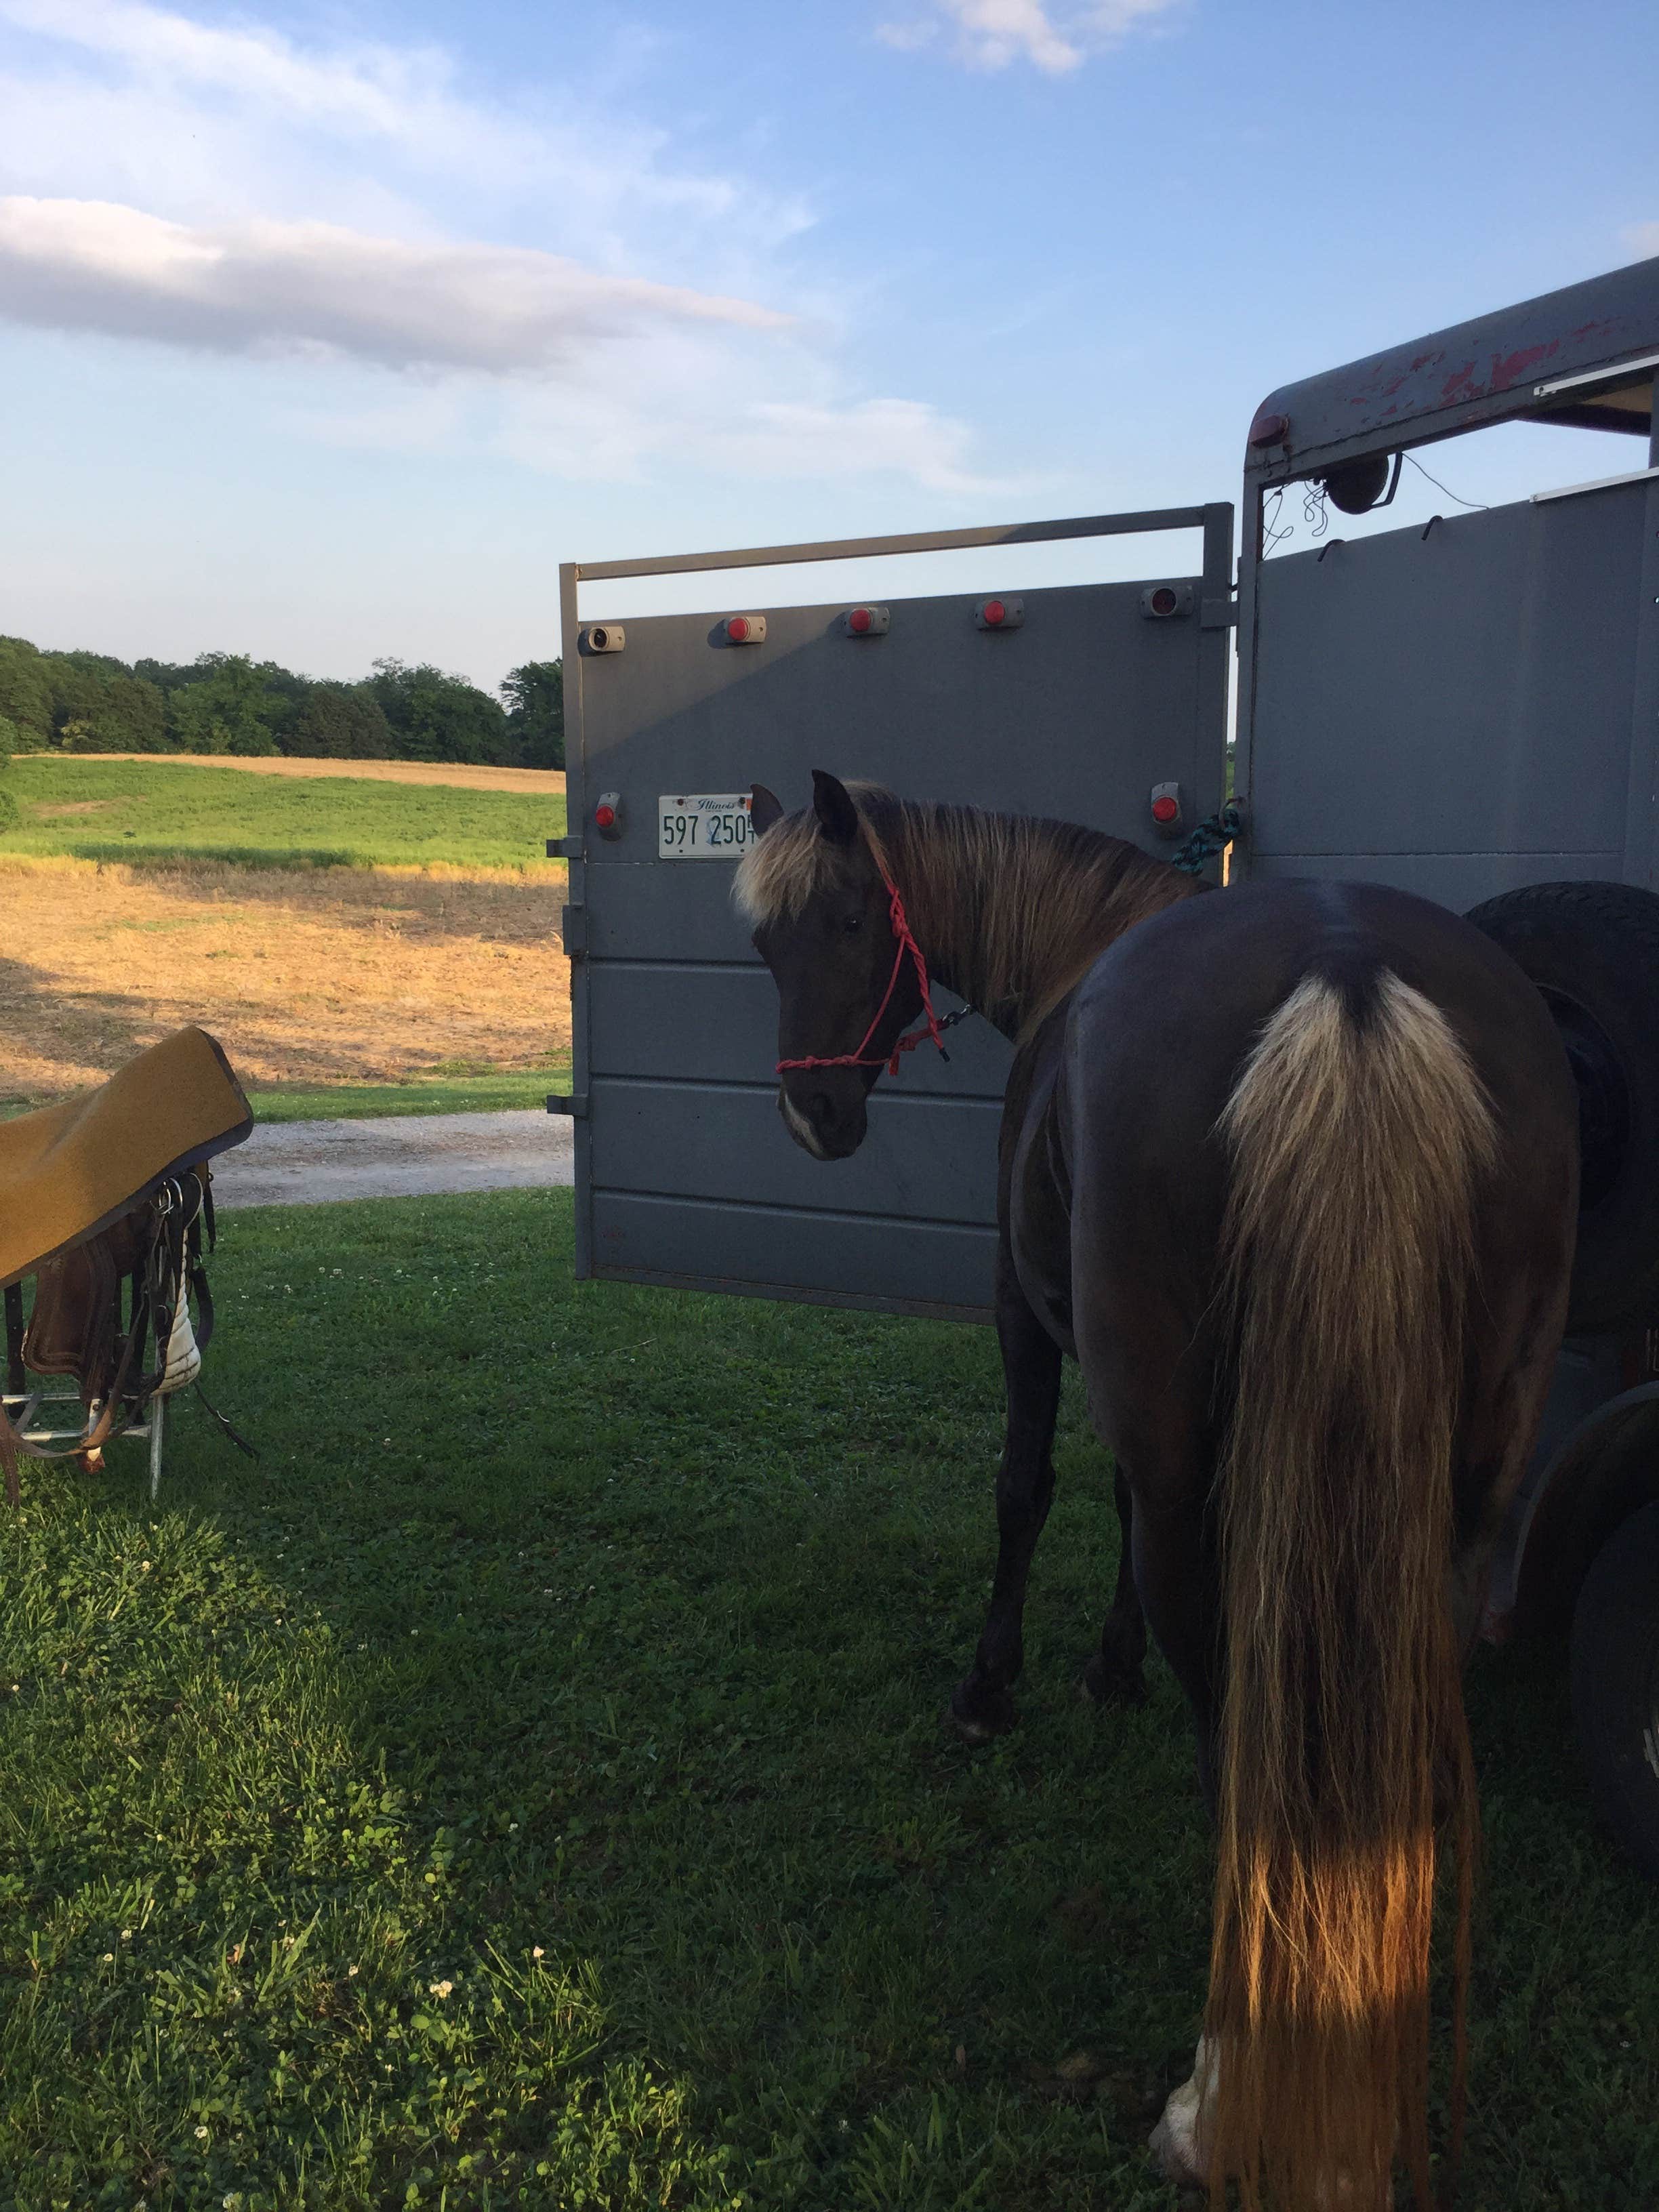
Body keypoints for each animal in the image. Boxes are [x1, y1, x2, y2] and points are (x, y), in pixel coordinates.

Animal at [735, 770, 1578, 2211]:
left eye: (849, 919)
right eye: (761, 944)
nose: (813, 1117)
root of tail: (1344, 970)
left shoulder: (1029, 1317)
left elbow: (1026, 1489)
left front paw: (994, 1684)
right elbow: (1112, 1520)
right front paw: (1106, 1664)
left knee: (1236, 1748)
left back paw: (1226, 2091)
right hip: (1451, 1504)